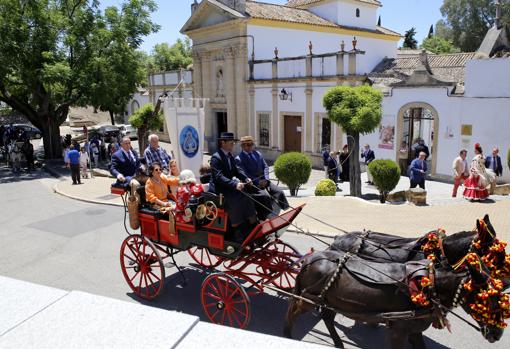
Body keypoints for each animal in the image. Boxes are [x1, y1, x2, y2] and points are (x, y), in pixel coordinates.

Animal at [284, 250, 504, 348]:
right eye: (488, 298)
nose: (498, 334)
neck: (430, 286)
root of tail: (311, 259)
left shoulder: (415, 330)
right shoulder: (399, 331)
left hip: (330, 301)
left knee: (327, 318)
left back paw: (338, 343)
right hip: (308, 298)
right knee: (293, 311)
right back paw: (286, 335)